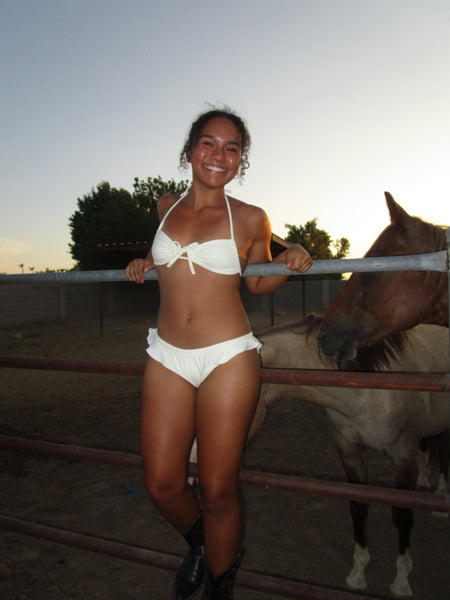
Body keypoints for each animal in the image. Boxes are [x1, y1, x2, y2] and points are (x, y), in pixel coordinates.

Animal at [256, 316, 450, 596]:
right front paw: (358, 574)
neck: (365, 388)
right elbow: (358, 506)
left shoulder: (404, 455)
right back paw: (426, 480)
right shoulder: (349, 447)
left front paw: (401, 581)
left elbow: (402, 515)